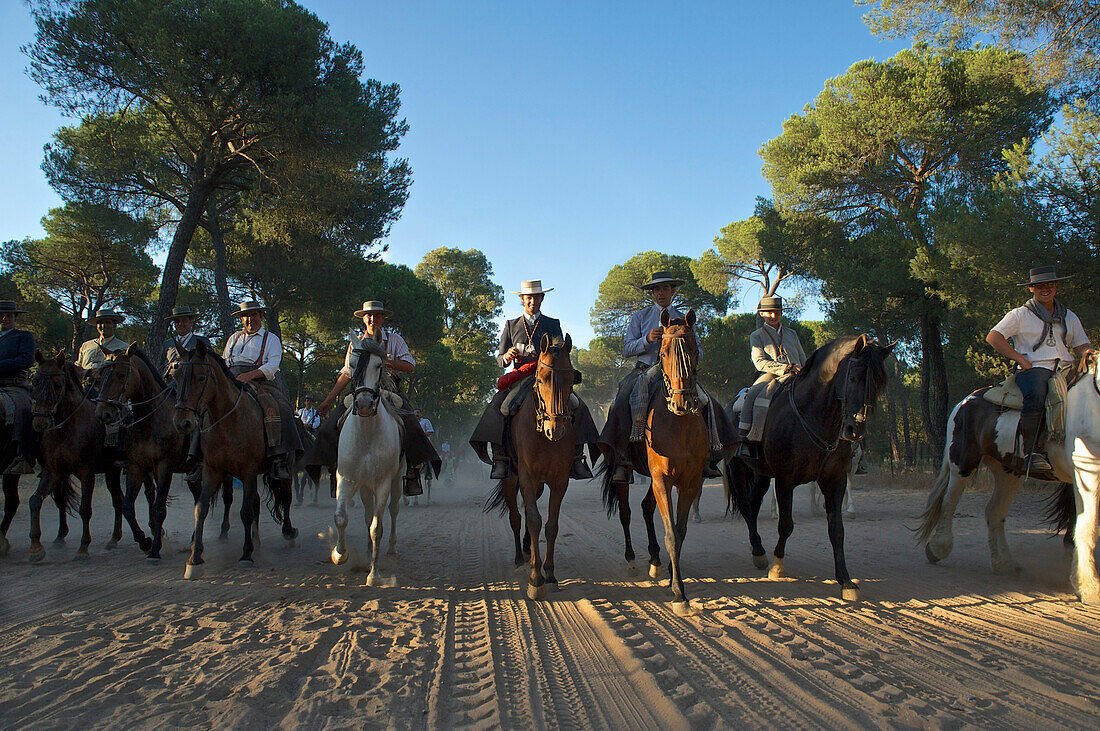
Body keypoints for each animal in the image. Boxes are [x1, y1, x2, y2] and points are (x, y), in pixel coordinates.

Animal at [28, 351, 127, 560]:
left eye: (58, 384)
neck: (67, 429)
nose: (40, 422)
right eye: (35, 380)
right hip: (111, 472)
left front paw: (83, 547)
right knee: (118, 500)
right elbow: (35, 500)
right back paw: (114, 539)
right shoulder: (53, 471)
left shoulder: (86, 473)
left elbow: (85, 509)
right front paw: (36, 547)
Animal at [170, 338, 294, 580]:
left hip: (285, 469)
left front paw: (246, 555)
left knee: (286, 497)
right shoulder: (212, 470)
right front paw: (194, 559)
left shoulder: (248, 471)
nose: (182, 422)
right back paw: (256, 540)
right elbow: (201, 509)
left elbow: (245, 511)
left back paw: (288, 533)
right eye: (177, 375)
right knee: (257, 502)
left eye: (201, 377)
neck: (229, 420)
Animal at [330, 334, 409, 584]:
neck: (366, 434)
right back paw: (365, 551)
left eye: (379, 365)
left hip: (396, 481)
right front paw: (340, 555)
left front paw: (374, 575)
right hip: (365, 486)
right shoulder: (346, 478)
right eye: (352, 364)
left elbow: (377, 527)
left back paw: (390, 548)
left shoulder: (383, 482)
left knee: (393, 510)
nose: (364, 405)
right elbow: (341, 517)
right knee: (367, 513)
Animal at [486, 334, 580, 597]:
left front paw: (550, 574)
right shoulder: (526, 477)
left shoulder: (560, 481)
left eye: (571, 379)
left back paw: (529, 551)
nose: (555, 429)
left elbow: (550, 525)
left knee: (528, 514)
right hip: (510, 479)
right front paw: (535, 579)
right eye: (540, 378)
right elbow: (534, 520)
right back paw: (521, 558)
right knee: (517, 517)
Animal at [919, 351, 1100, 602]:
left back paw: (1004, 562)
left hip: (1008, 472)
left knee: (994, 512)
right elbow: (1087, 526)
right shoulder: (1087, 471)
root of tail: (965, 402)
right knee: (949, 503)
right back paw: (938, 548)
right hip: (962, 463)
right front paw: (1089, 587)